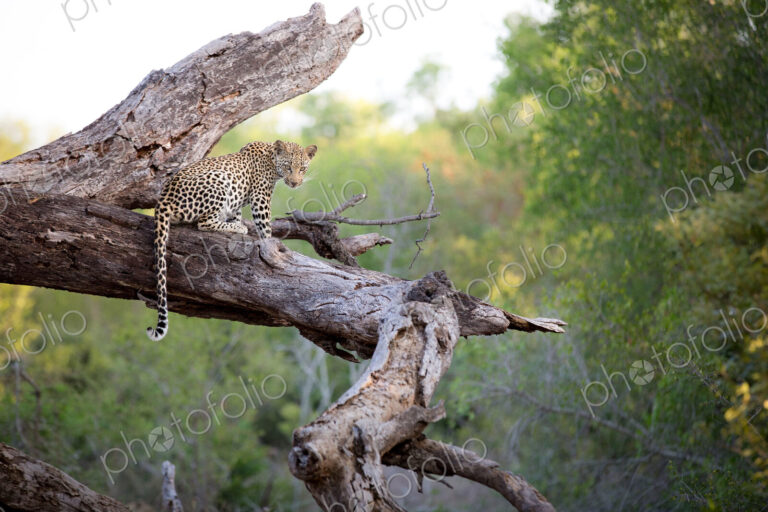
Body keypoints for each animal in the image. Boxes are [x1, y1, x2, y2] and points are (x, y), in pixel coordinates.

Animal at [146, 140, 317, 341]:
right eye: (288, 166)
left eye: (303, 168)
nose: (295, 183)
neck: (272, 161)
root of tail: (163, 199)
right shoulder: (260, 197)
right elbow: (265, 227)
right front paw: (269, 244)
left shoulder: (237, 201)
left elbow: (236, 213)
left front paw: (237, 223)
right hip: (218, 181)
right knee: (204, 222)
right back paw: (239, 228)